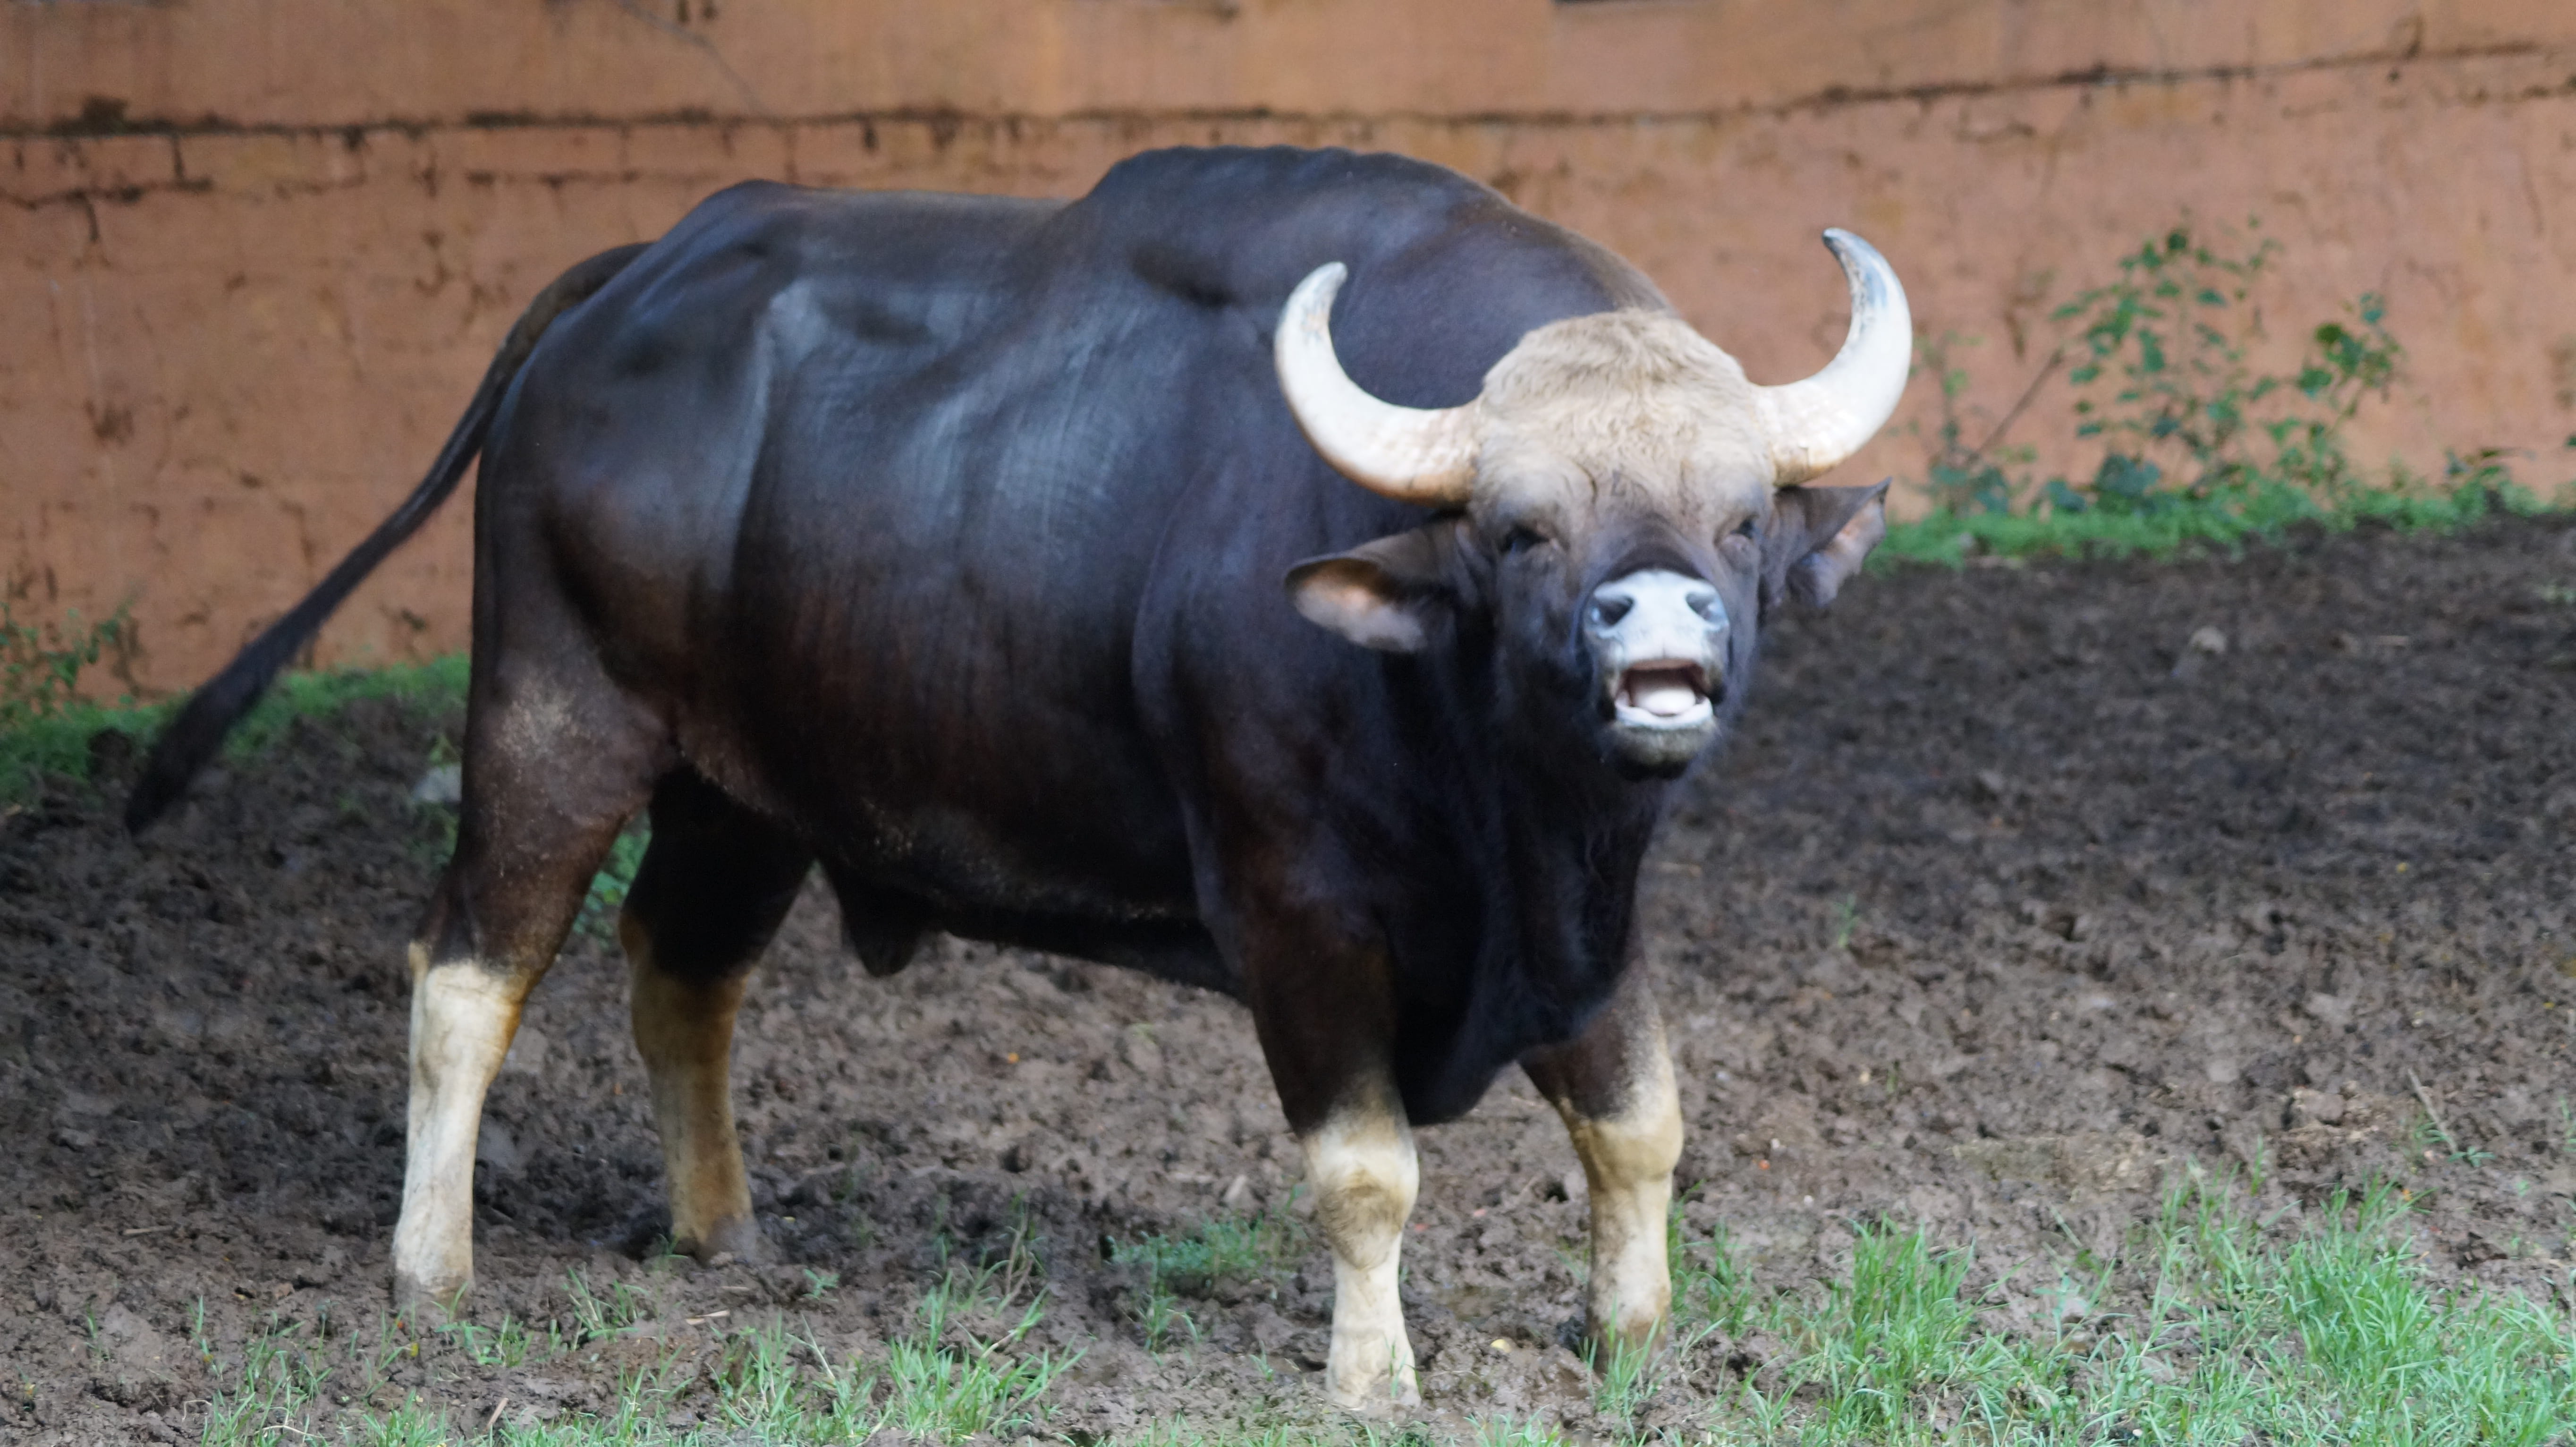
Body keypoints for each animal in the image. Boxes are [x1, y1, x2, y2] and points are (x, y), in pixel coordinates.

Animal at [128, 146, 1907, 1411]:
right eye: (1520, 526)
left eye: (1739, 515)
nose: (1658, 626)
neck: (1498, 791)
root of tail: (635, 270)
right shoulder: (1295, 912)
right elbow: (1368, 1170)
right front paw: (1373, 1377)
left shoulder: (1587, 909)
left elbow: (1640, 1120)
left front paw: (1634, 1339)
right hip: (550, 713)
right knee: (465, 974)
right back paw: (432, 1269)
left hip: (740, 789)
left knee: (679, 971)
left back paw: (723, 1229)